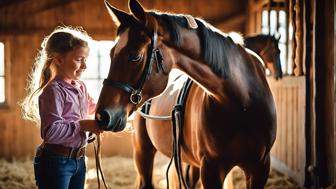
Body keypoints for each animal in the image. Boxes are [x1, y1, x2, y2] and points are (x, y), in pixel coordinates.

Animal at [96, 0, 276, 188]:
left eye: (135, 56)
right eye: (111, 54)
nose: (103, 116)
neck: (242, 101)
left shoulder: (260, 166)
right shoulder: (212, 168)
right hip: (143, 151)